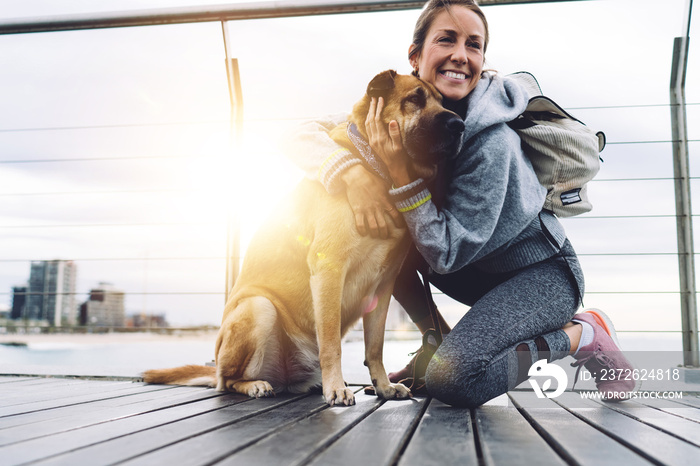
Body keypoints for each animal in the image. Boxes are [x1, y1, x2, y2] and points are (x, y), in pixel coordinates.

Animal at [142, 69, 464, 404]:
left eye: (442, 101)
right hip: (259, 308)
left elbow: (375, 346)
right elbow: (331, 342)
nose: (459, 125)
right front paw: (336, 388)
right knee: (226, 381)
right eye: (415, 99)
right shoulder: (329, 269)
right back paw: (256, 384)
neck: (377, 166)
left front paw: (384, 386)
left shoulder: (383, 286)